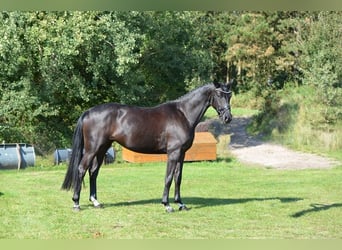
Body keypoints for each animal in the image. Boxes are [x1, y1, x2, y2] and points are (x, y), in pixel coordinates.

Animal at [61, 82, 232, 211]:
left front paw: (180, 203)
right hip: (92, 149)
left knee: (93, 172)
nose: (228, 118)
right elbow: (168, 177)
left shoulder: (182, 153)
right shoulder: (173, 153)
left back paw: (96, 202)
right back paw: (76, 203)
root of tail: (88, 112)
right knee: (82, 169)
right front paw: (167, 205)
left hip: (102, 148)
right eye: (219, 95)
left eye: (229, 95)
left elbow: (178, 177)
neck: (182, 114)